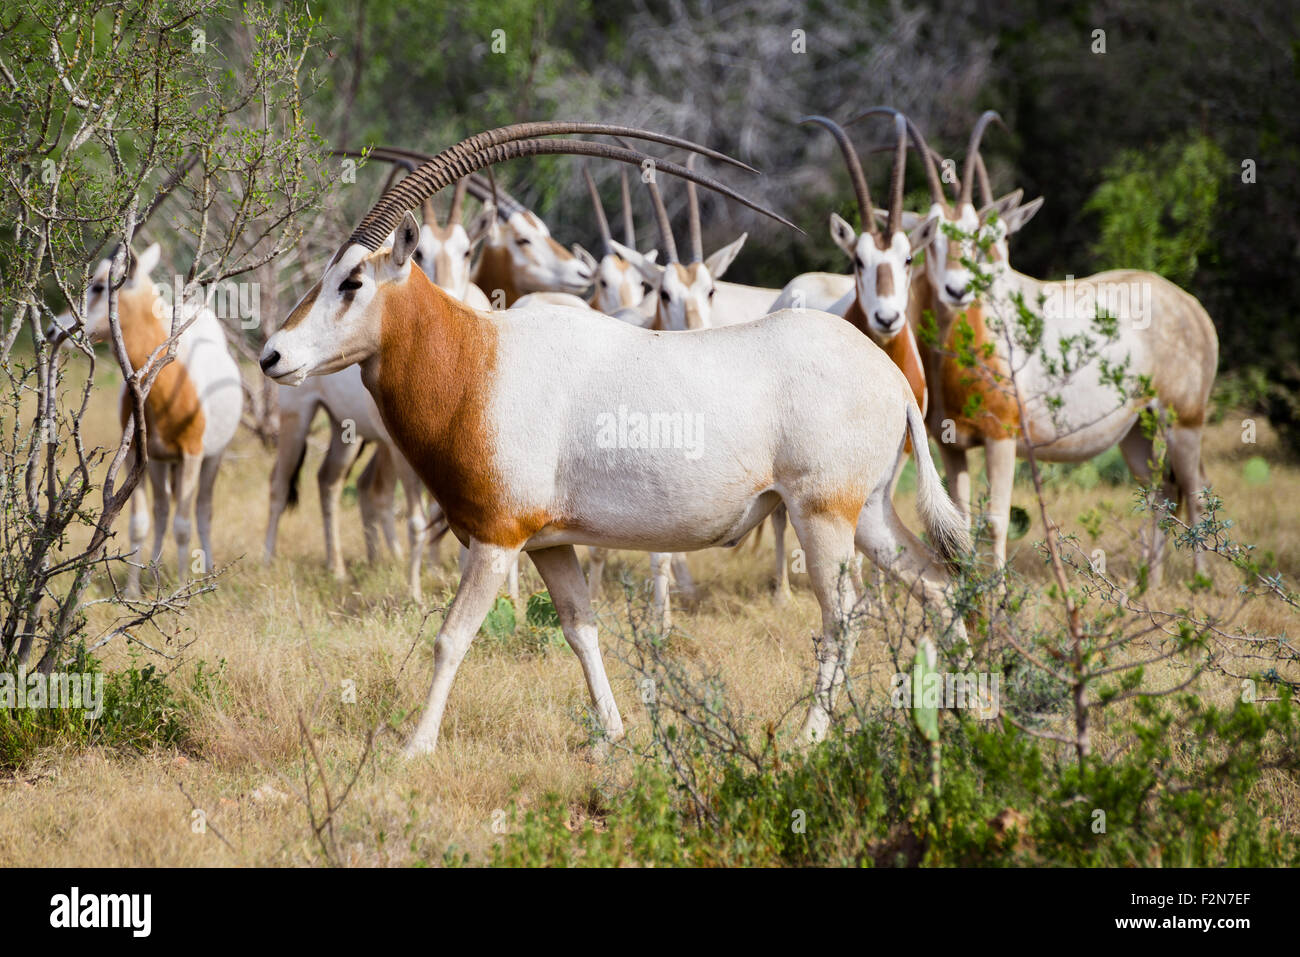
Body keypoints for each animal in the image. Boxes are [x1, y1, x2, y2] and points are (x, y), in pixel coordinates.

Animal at [258, 123, 972, 754]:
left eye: (352, 282)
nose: (272, 355)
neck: (479, 358)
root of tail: (888, 373)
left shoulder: (495, 538)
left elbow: (452, 637)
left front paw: (415, 747)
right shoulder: (550, 544)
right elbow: (582, 629)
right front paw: (614, 734)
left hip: (822, 515)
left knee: (844, 616)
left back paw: (811, 737)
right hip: (870, 514)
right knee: (938, 586)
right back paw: (970, 711)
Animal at [904, 111, 1216, 574]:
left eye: (979, 236)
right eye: (932, 240)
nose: (956, 290)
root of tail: (1193, 308)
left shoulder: (1002, 438)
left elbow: (995, 520)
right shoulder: (951, 446)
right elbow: (957, 522)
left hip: (1184, 421)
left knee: (1194, 492)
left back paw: (1200, 581)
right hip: (1135, 431)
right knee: (1160, 490)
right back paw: (1150, 581)